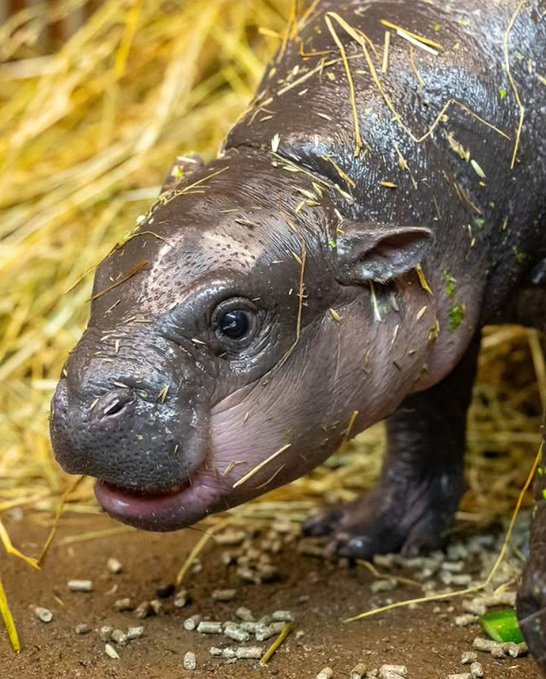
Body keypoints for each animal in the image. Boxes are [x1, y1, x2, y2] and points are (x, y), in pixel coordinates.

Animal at [50, 0, 546, 669]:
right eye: (102, 277)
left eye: (234, 322)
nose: (86, 406)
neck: (324, 181)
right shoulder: (435, 314)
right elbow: (423, 415)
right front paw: (356, 533)